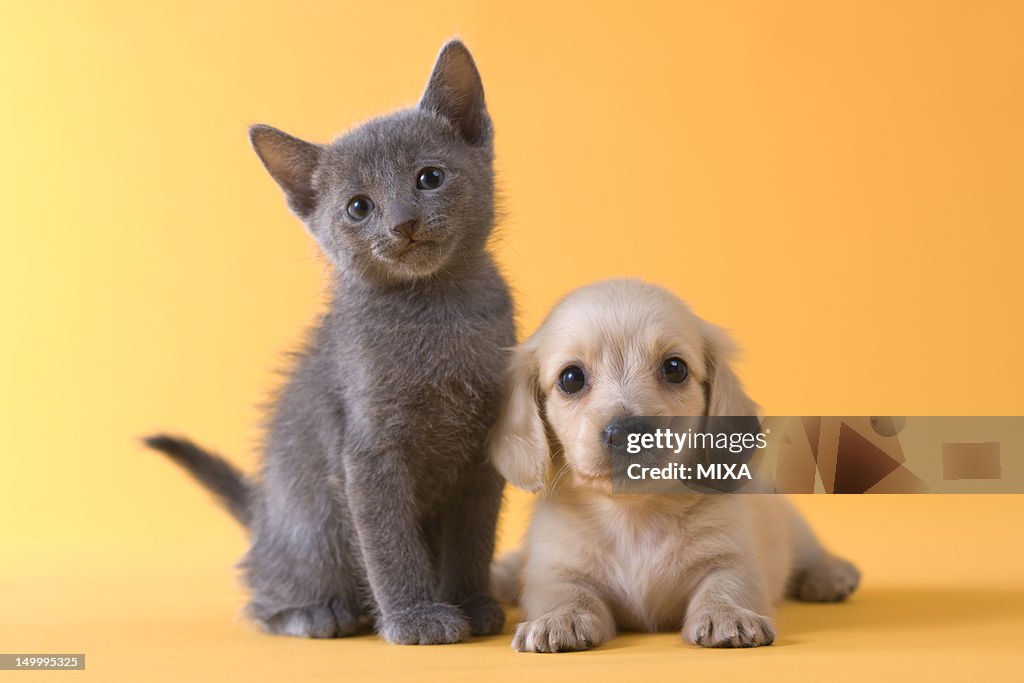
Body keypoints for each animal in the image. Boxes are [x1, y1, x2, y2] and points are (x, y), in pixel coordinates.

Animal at [146, 40, 512, 643]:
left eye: (429, 177)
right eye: (359, 207)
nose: (403, 224)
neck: (435, 310)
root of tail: (263, 514)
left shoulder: (485, 446)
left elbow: (474, 534)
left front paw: (472, 601)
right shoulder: (366, 450)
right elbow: (388, 542)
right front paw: (414, 617)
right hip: (309, 525)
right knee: (262, 593)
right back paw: (317, 613)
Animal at [491, 280, 860, 655]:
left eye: (674, 368)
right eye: (571, 378)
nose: (627, 431)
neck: (634, 518)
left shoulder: (732, 555)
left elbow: (726, 584)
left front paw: (727, 615)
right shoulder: (554, 569)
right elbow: (565, 593)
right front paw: (559, 619)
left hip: (792, 526)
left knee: (810, 552)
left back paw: (831, 574)